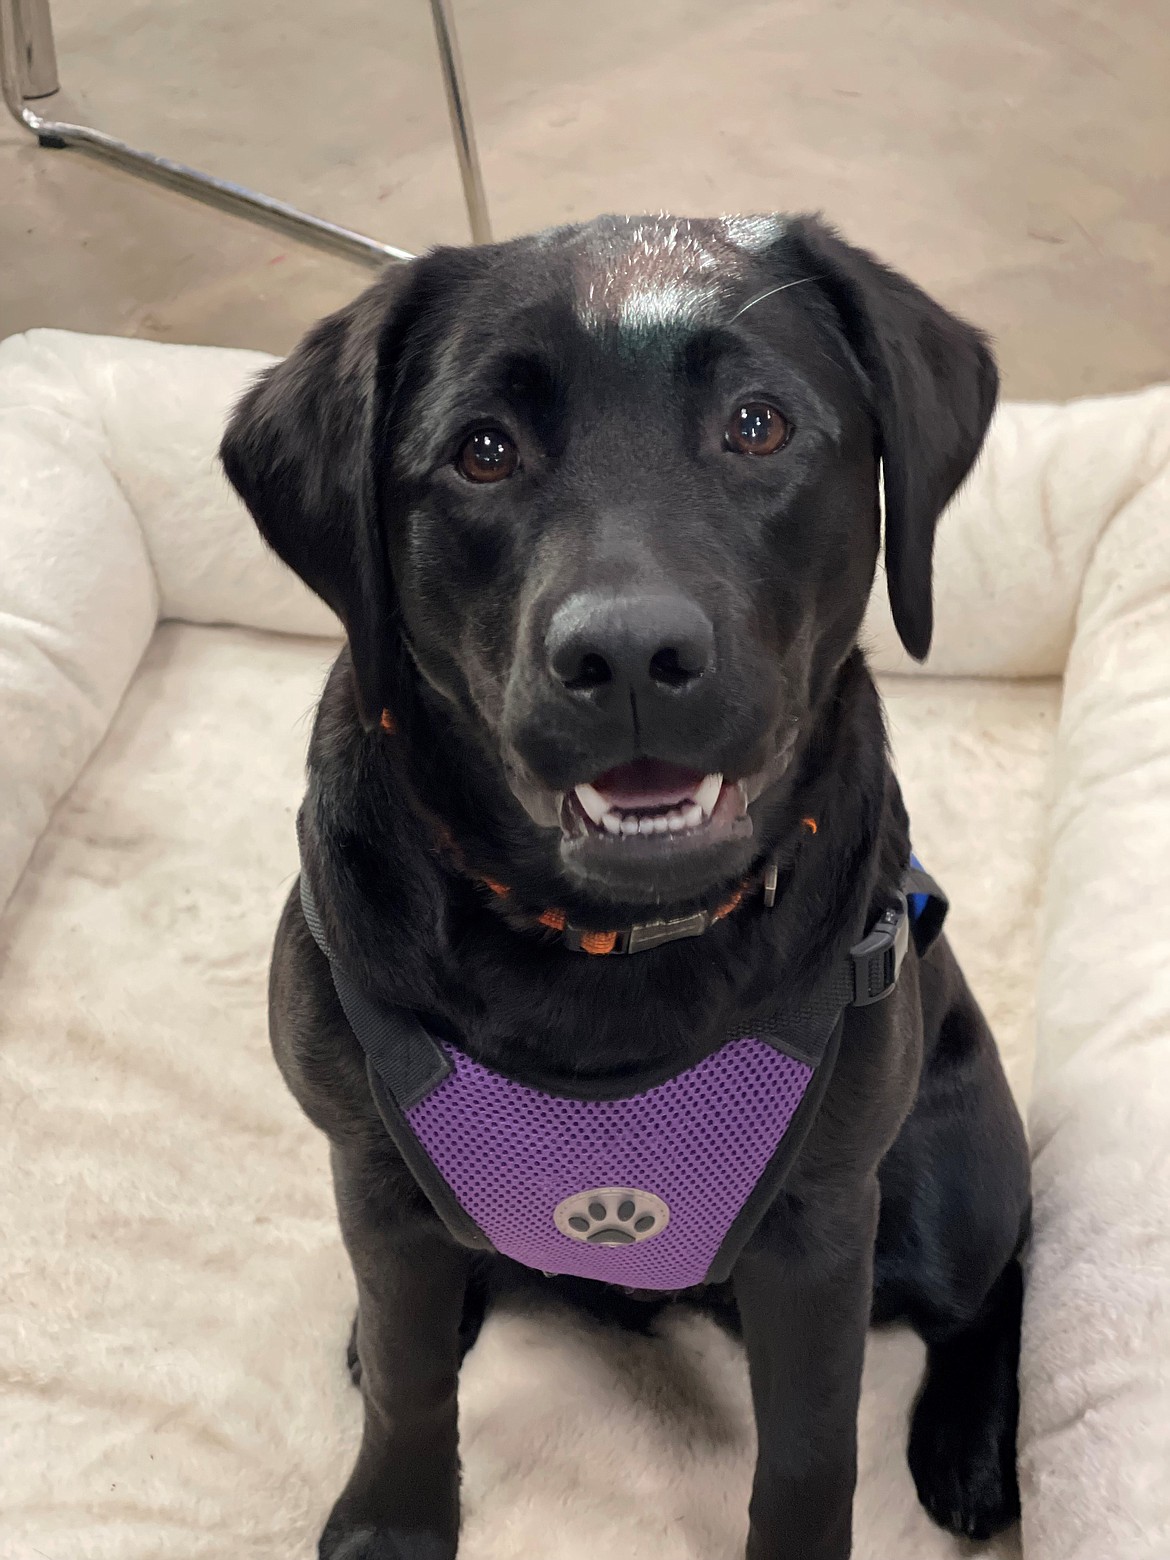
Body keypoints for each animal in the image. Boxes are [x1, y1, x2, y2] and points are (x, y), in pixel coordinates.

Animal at [219, 216, 1023, 1560]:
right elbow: (406, 1370)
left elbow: (811, 1448)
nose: (632, 654)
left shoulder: (822, 1225)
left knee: (1007, 1266)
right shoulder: (372, 1174)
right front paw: (393, 1516)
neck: (610, 949)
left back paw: (970, 1441)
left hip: (948, 1181)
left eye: (757, 424)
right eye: (483, 451)